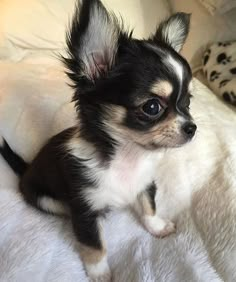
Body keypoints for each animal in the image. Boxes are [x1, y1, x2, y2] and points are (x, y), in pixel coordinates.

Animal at [0, 0, 196, 280]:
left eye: (187, 102)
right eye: (152, 107)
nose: (192, 128)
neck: (128, 156)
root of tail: (26, 168)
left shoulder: (145, 184)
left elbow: (149, 208)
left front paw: (157, 227)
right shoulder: (84, 209)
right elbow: (94, 246)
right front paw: (100, 272)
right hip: (44, 198)